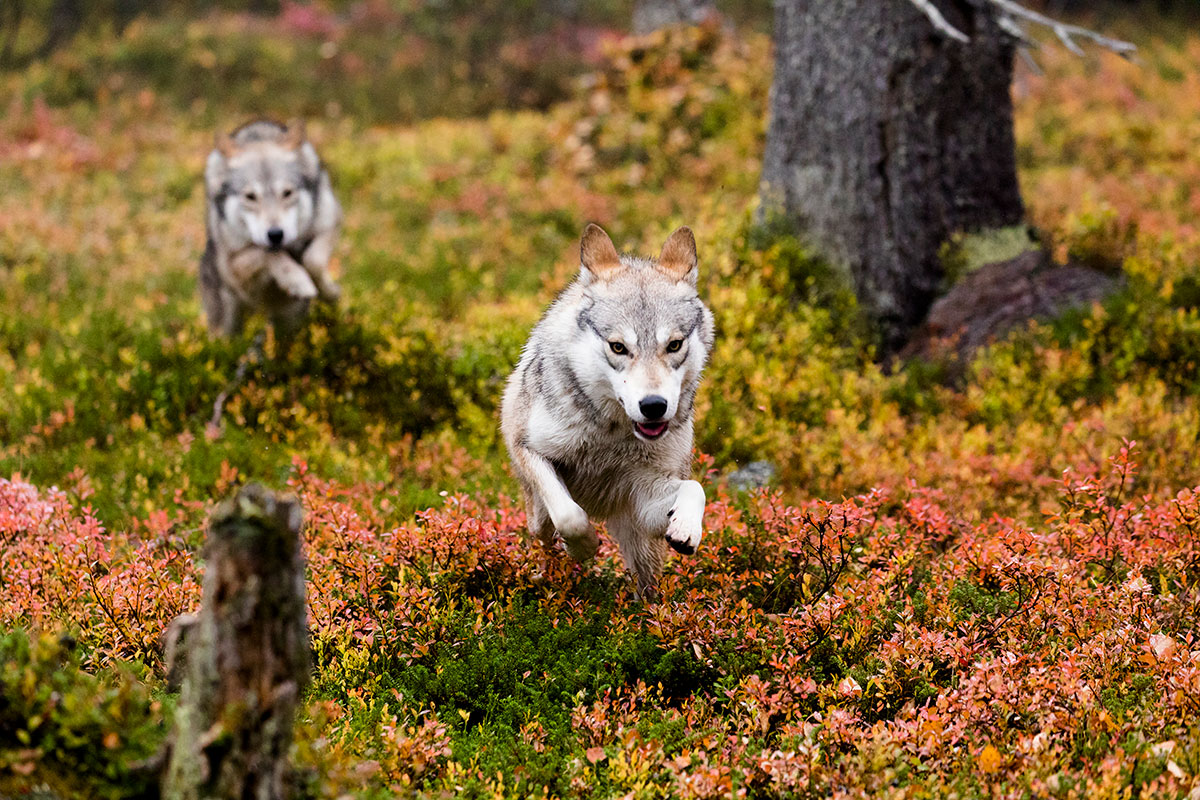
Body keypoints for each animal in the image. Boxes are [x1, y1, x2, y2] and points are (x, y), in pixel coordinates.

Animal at [199, 119, 343, 338]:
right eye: (250, 197)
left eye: (287, 193)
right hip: (225, 324)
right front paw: (298, 281)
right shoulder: (235, 265)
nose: (275, 234)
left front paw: (329, 291)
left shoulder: (330, 223)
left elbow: (314, 261)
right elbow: (270, 254)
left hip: (290, 320)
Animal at [501, 224, 716, 599]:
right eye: (618, 347)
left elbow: (695, 487)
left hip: (641, 542)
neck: (612, 435)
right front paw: (584, 546)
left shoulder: (642, 498)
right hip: (536, 514)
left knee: (647, 586)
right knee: (544, 538)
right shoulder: (529, 449)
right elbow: (570, 516)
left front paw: (687, 528)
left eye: (674, 345)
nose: (654, 406)